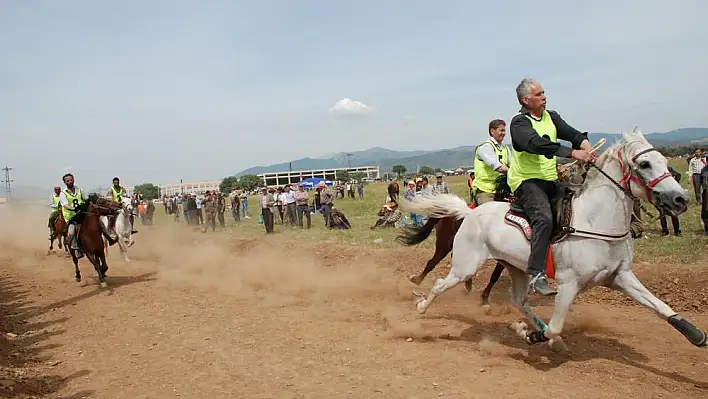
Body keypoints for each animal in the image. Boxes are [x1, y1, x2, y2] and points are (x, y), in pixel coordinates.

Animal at [402, 128, 704, 354]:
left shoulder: (620, 276)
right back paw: (421, 306)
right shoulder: (569, 284)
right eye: (644, 164)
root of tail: (470, 212)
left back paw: (524, 326)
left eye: (664, 160)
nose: (680, 199)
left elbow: (661, 307)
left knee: (519, 301)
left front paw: (697, 335)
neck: (594, 222)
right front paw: (534, 336)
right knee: (439, 282)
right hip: (465, 264)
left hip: (517, 269)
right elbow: (556, 325)